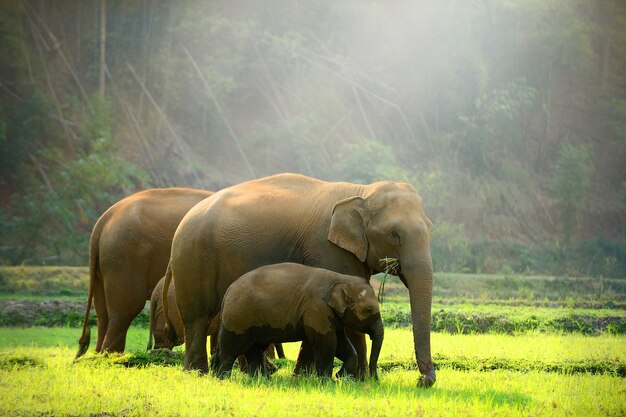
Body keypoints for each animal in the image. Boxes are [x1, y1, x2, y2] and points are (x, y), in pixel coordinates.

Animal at [74, 187, 212, 356]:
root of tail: (102, 221)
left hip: (104, 264)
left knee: (102, 313)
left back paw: (100, 355)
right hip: (125, 258)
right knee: (124, 311)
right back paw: (112, 356)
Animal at [212, 262, 382, 378]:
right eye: (369, 310)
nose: (375, 380)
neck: (340, 278)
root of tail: (227, 292)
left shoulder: (330, 315)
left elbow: (341, 342)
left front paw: (340, 377)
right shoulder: (317, 308)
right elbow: (327, 343)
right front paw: (328, 381)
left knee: (254, 350)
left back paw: (262, 380)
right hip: (237, 319)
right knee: (230, 350)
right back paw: (222, 379)